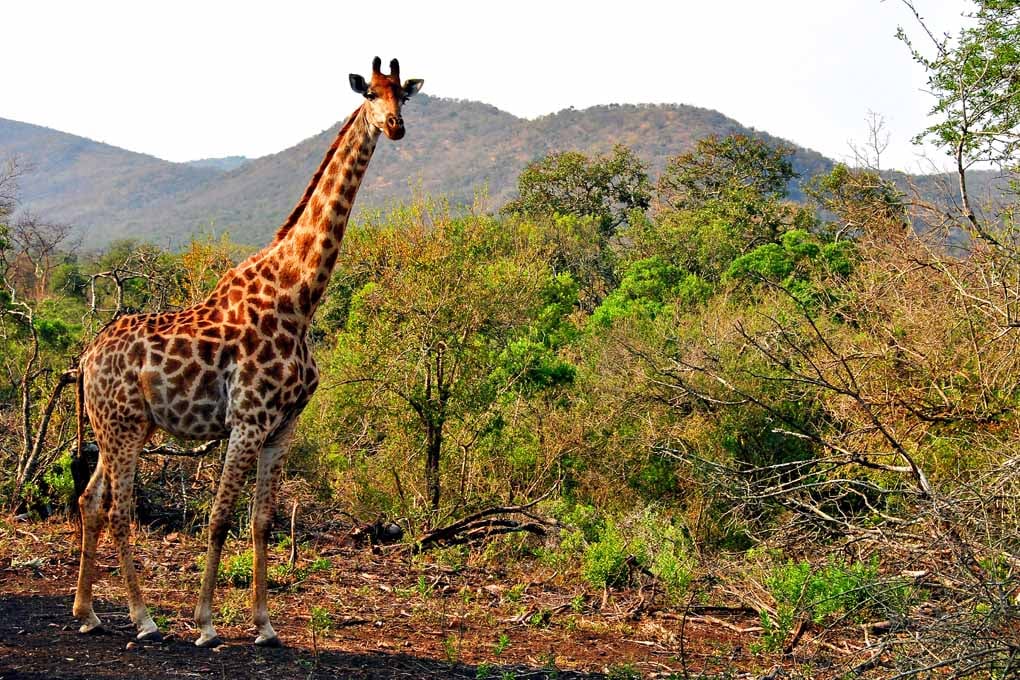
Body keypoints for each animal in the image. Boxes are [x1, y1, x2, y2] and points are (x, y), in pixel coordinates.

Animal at [71, 57, 423, 648]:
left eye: (406, 95)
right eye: (371, 95)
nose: (395, 127)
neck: (300, 297)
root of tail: (86, 358)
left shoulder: (283, 426)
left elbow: (262, 521)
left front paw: (265, 625)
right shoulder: (247, 420)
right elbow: (219, 518)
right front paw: (206, 624)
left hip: (125, 426)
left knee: (90, 501)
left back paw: (88, 611)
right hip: (121, 426)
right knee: (120, 511)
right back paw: (144, 619)